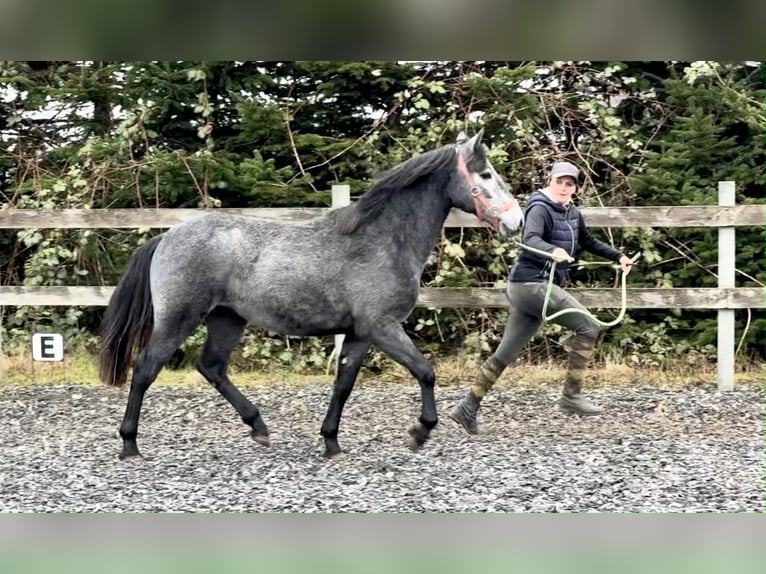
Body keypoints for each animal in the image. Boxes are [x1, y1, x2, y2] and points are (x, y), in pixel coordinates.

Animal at [100, 130, 520, 460]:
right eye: (485, 174)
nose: (515, 221)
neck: (382, 240)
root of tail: (166, 237)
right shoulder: (382, 327)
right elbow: (425, 372)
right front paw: (420, 432)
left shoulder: (358, 334)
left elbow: (343, 385)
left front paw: (331, 442)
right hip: (179, 319)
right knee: (145, 369)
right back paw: (130, 445)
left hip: (227, 319)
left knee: (212, 367)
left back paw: (258, 426)